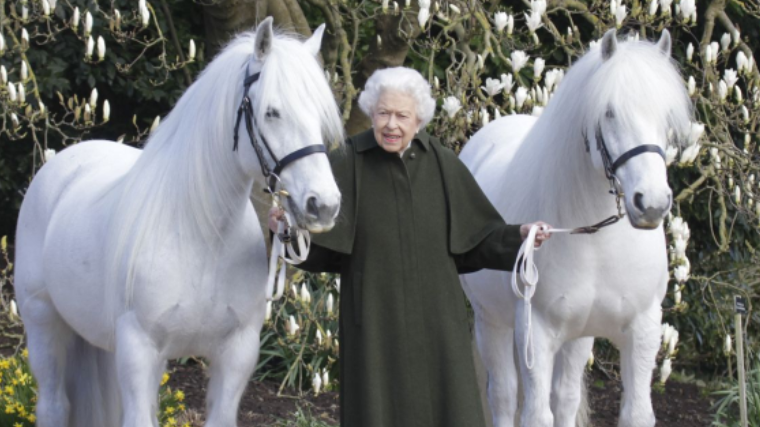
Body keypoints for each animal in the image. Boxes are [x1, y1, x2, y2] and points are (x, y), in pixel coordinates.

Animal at [14, 17, 342, 427]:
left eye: (319, 115)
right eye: (271, 112)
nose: (324, 205)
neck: (202, 237)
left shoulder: (237, 354)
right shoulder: (139, 351)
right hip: (43, 323)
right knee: (54, 404)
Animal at [460, 30, 692, 427]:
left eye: (665, 115)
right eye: (609, 111)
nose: (651, 203)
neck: (596, 240)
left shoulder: (642, 329)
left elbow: (633, 412)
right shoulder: (534, 332)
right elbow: (536, 414)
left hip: (576, 336)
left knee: (565, 398)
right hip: (492, 322)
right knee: (503, 396)